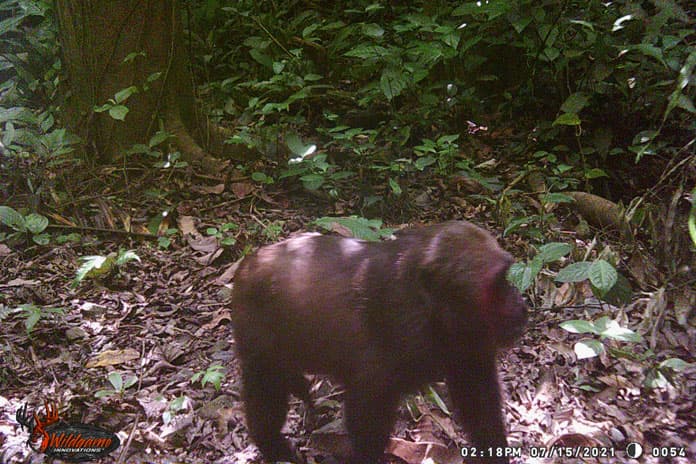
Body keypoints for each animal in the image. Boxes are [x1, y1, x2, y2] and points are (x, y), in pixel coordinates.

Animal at [230, 221, 528, 464]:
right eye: (499, 282)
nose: (519, 301)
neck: (432, 310)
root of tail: (247, 265)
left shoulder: (470, 345)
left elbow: (479, 403)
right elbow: (367, 418)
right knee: (267, 383)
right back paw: (271, 443)